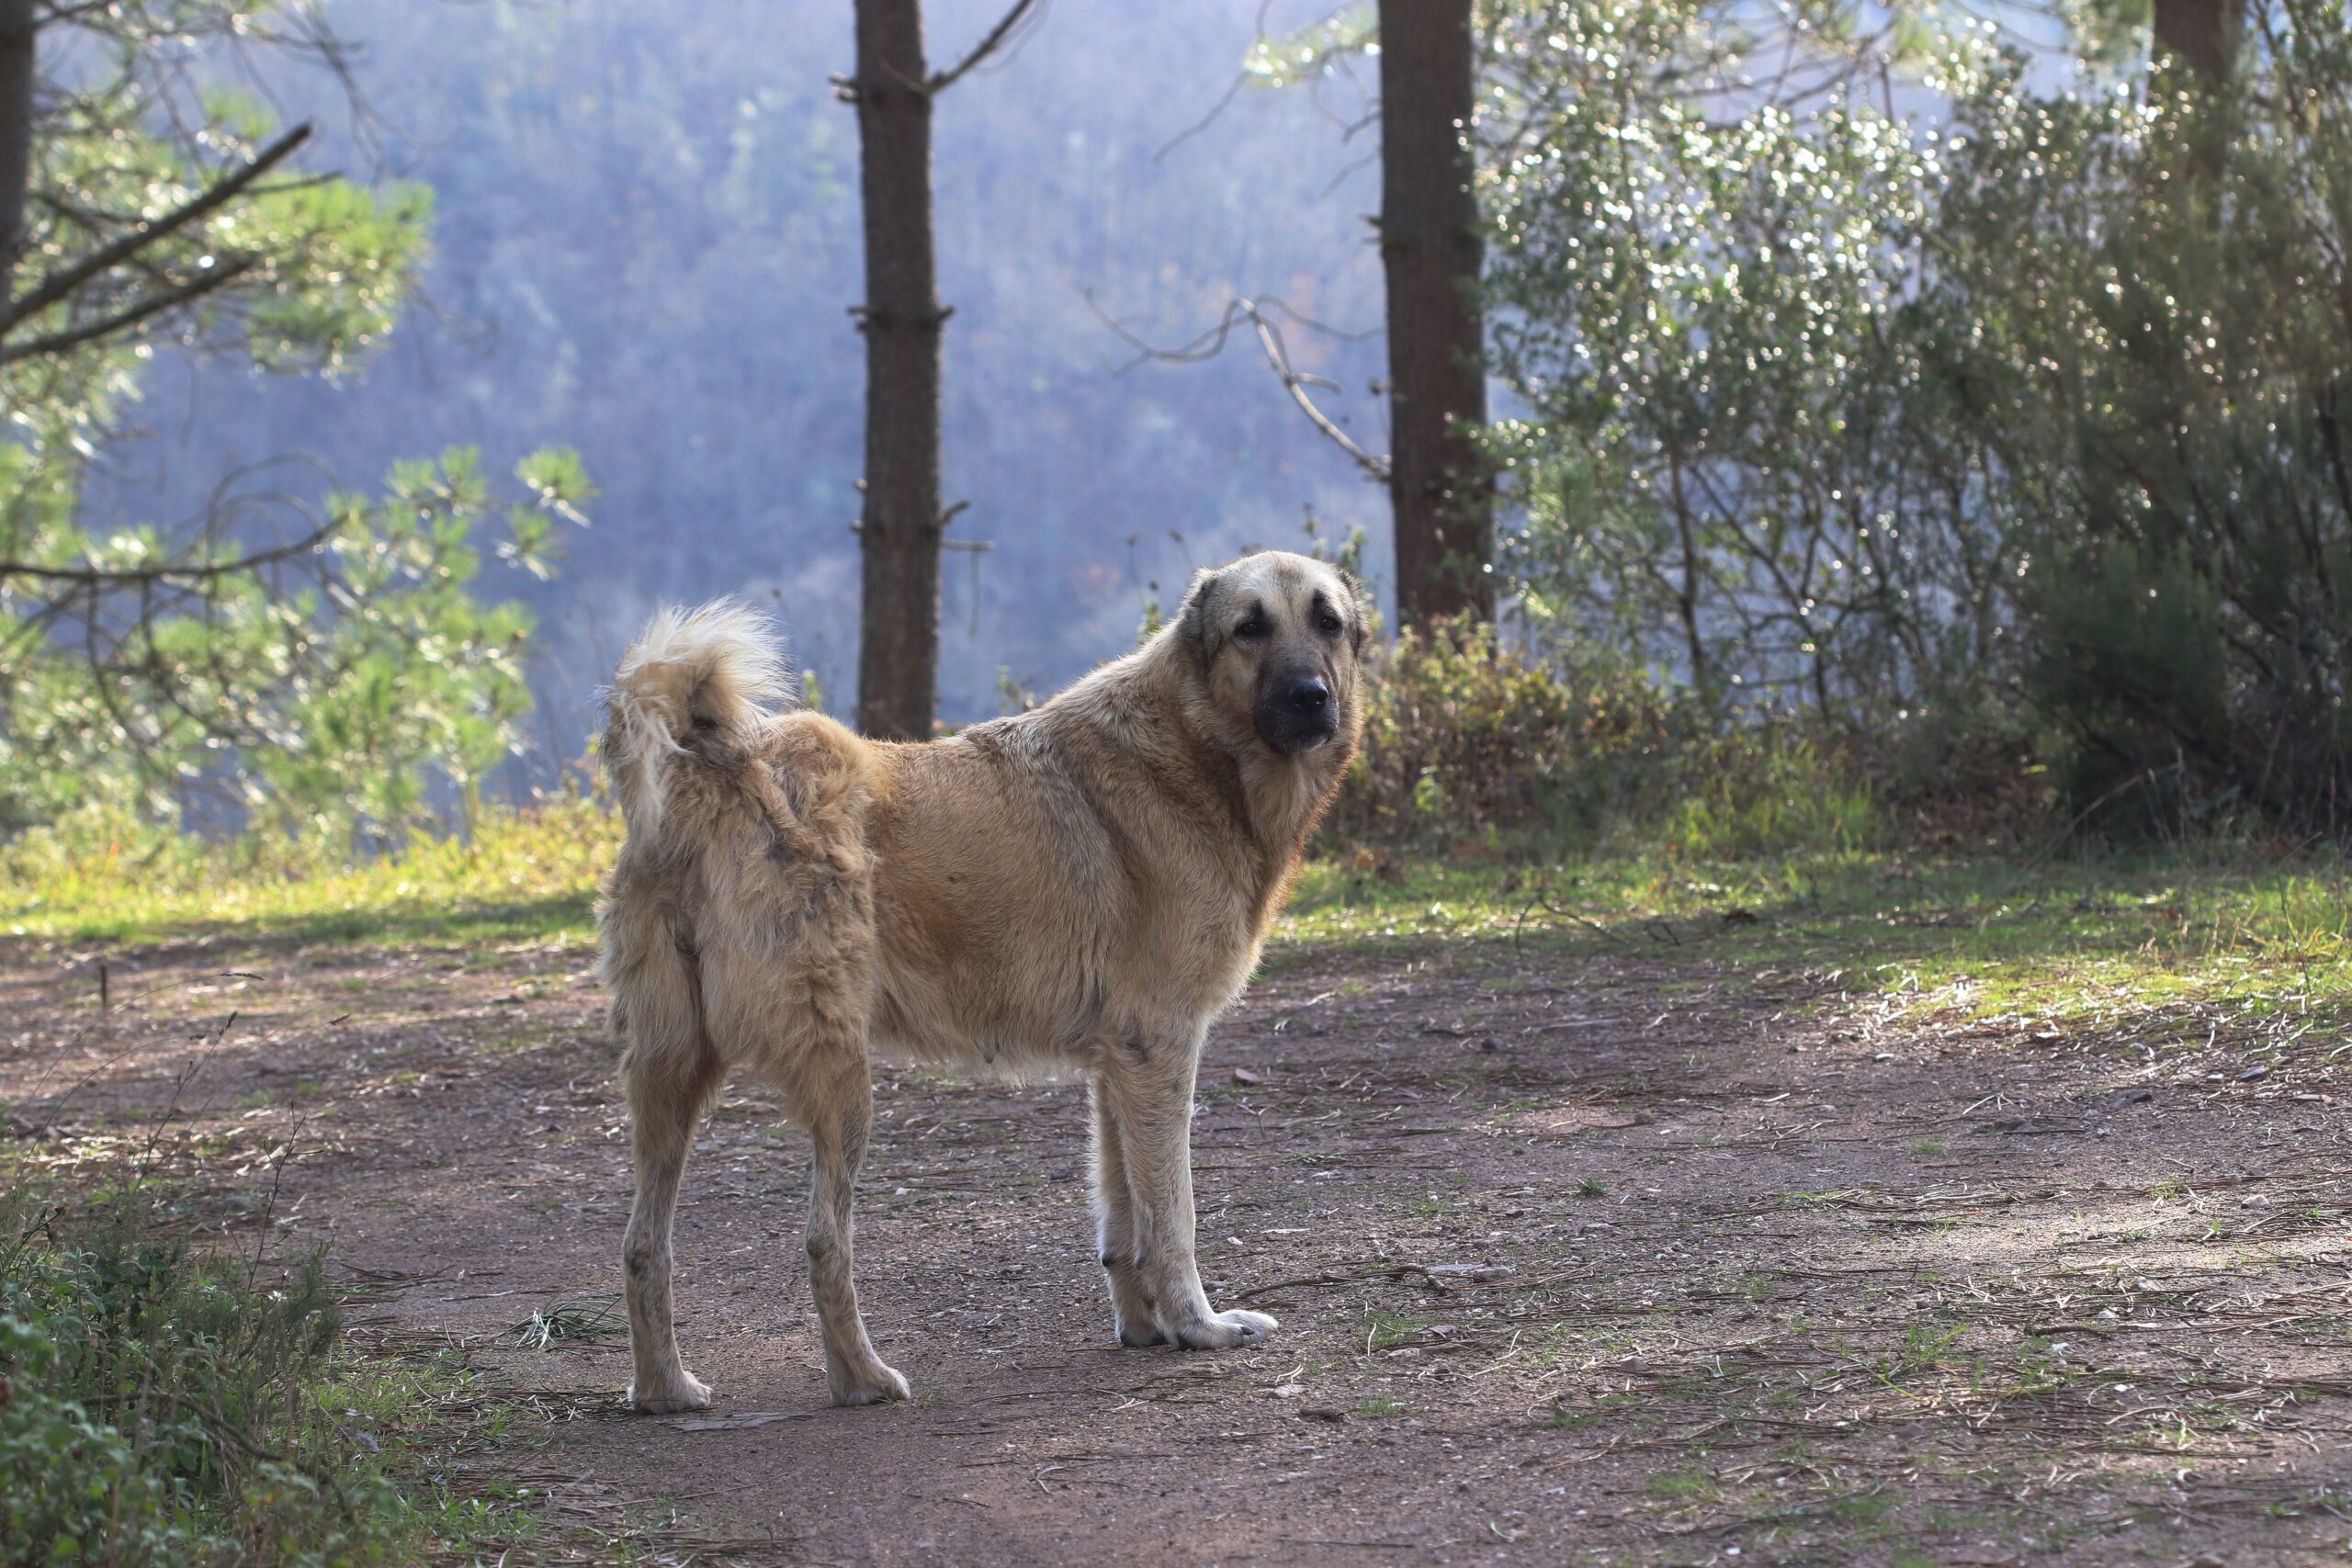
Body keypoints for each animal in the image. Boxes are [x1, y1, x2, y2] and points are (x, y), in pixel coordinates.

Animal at [597, 549, 1374, 1410]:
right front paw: (1199, 1326)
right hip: (841, 1080)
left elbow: (1121, 1218)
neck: (1191, 745)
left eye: (1327, 621)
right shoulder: (1162, 1047)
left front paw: (1145, 1329)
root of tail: (714, 769)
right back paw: (861, 1379)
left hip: (671, 1076)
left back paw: (664, 1389)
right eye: (1250, 628)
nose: (1311, 697)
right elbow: (1173, 1215)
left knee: (642, 1245)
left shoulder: (1119, 1065)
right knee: (823, 1240)